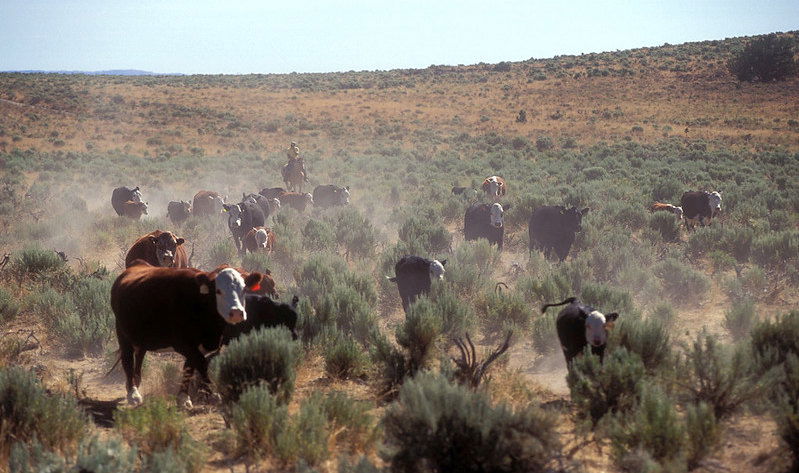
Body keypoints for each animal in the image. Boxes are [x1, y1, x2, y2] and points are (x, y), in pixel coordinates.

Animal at [111, 262, 266, 406]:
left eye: (244, 289)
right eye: (218, 291)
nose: (237, 312)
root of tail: (137, 265)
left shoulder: (197, 346)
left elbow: (189, 367)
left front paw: (183, 397)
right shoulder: (183, 344)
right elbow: (201, 364)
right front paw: (213, 393)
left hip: (141, 338)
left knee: (139, 357)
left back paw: (135, 384)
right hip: (122, 334)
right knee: (127, 361)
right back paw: (133, 393)